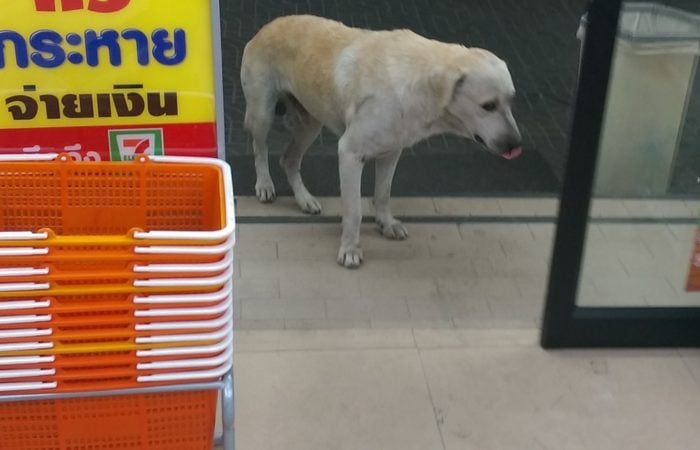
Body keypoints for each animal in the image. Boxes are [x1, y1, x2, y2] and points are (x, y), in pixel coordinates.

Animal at [239, 14, 520, 268]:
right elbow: (354, 211)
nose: (516, 145)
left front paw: (386, 223)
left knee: (289, 159)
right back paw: (264, 185)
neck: (416, 84)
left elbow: (383, 194)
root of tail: (266, 26)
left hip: (311, 123)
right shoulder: (350, 153)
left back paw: (304, 199)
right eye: (488, 105)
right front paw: (350, 249)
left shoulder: (391, 152)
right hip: (262, 113)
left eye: (511, 100)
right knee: (260, 149)